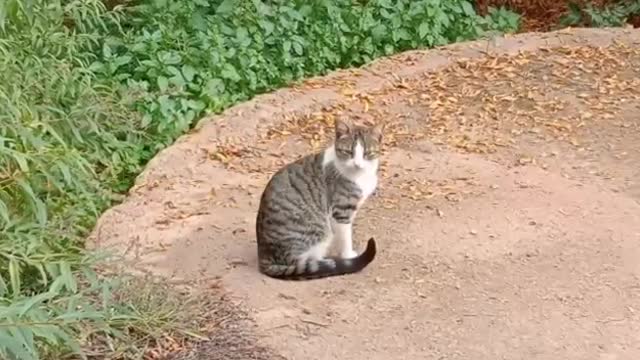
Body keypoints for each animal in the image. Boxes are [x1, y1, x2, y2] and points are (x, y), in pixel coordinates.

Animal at [256, 116, 384, 280]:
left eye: (367, 153)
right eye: (348, 152)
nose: (358, 164)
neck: (360, 176)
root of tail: (264, 257)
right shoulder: (341, 211)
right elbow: (346, 237)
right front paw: (348, 255)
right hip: (317, 231)